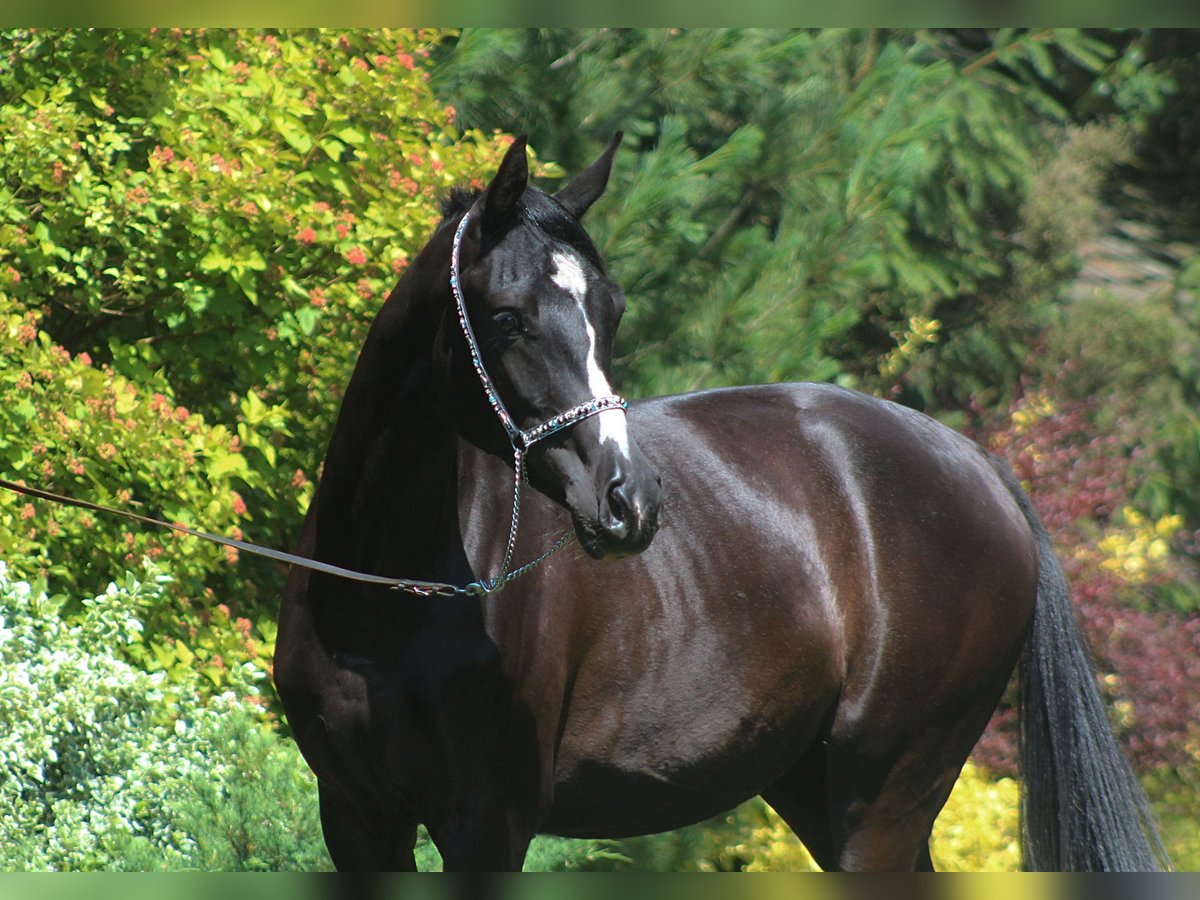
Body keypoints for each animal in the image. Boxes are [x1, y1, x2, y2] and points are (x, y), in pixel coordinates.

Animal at [276, 133, 1166, 873]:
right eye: (506, 317)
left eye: (612, 310)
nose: (628, 499)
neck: (389, 603)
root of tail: (978, 464)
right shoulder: (356, 819)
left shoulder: (487, 825)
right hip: (814, 789)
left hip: (884, 796)